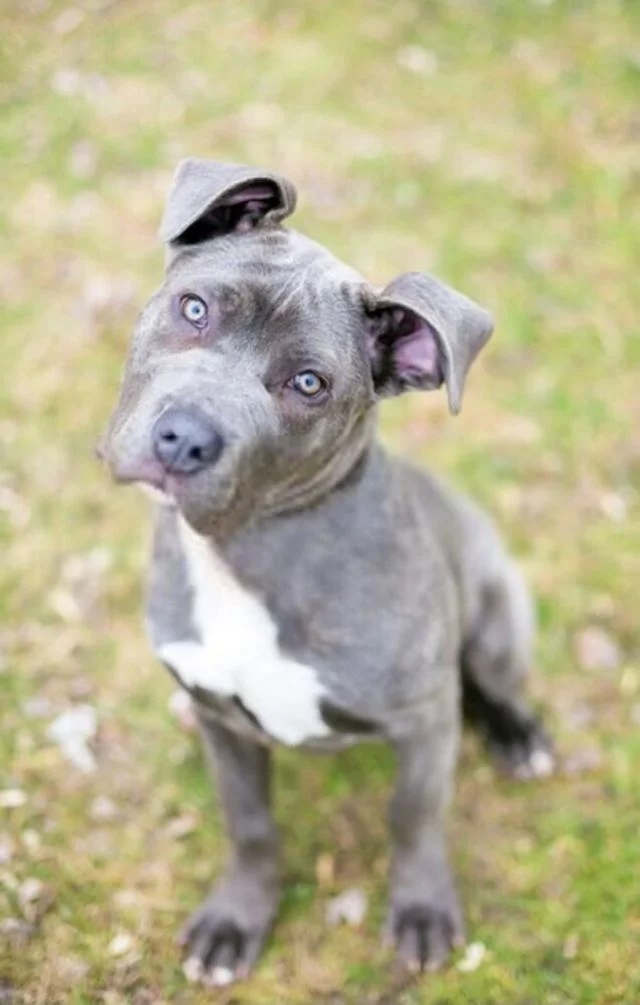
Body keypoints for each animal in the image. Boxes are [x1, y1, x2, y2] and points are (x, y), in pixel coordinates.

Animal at [102, 160, 550, 984]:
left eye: (309, 384)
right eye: (194, 308)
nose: (184, 438)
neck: (246, 552)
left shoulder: (421, 723)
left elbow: (413, 817)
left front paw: (421, 910)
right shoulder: (228, 732)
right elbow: (249, 824)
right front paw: (236, 919)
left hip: (498, 611)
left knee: (487, 681)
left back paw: (517, 733)